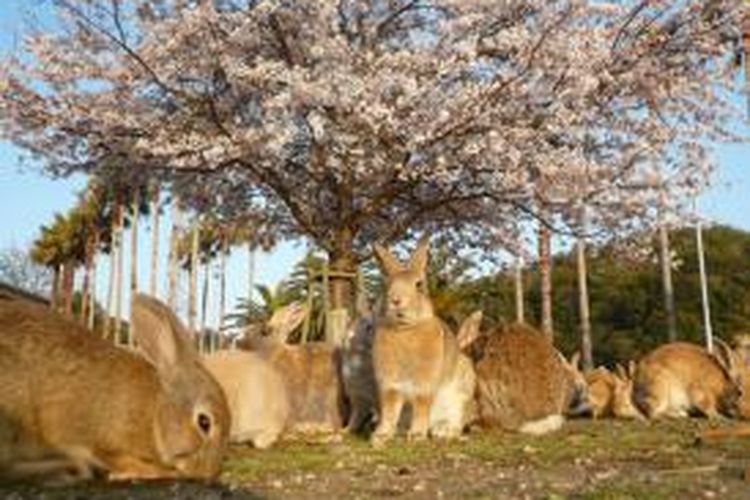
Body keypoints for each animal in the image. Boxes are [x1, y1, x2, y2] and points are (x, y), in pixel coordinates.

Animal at [368, 236, 468, 444]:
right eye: (387, 285)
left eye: (419, 285)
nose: (396, 300)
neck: (405, 328)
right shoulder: (389, 385)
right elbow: (389, 410)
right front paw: (380, 436)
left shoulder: (424, 384)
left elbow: (421, 405)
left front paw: (416, 436)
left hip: (462, 392)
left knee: (456, 421)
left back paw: (442, 432)